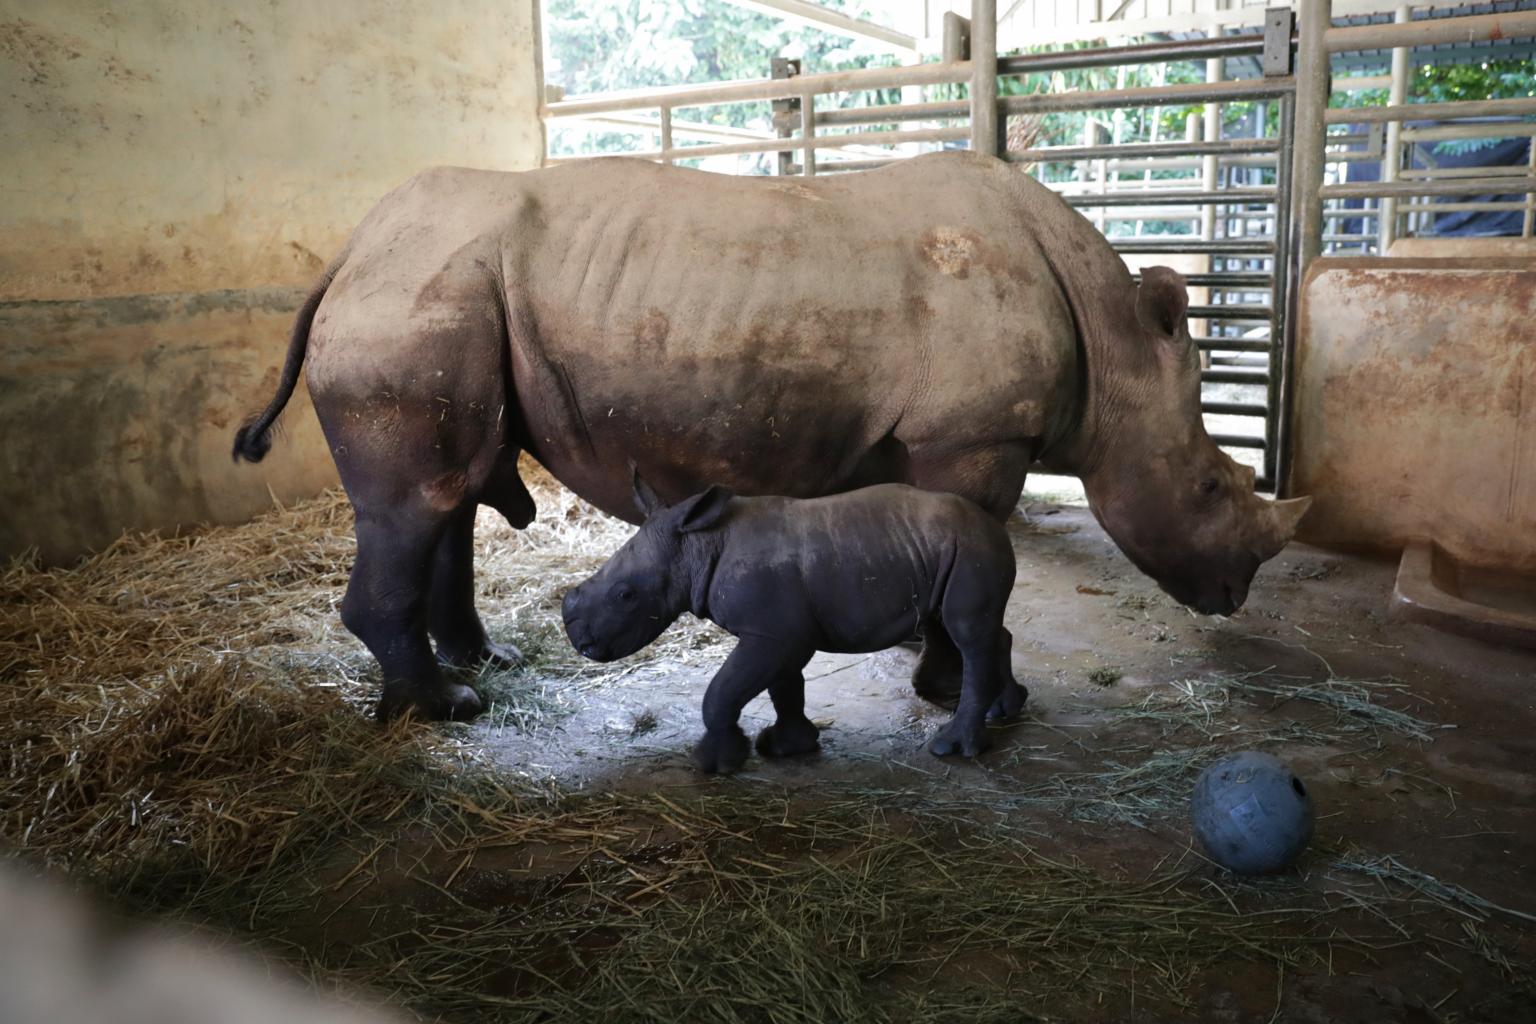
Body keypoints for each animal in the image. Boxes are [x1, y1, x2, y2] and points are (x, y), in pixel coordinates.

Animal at [233, 151, 1309, 721]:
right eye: (1212, 488)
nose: (1234, 593)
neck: (1109, 337)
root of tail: (351, 250)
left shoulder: (931, 441)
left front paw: (924, 665)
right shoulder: (972, 440)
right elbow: (972, 554)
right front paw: (949, 687)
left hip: (435, 294)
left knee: (449, 494)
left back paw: (481, 665)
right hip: (414, 302)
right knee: (415, 503)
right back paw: (446, 710)